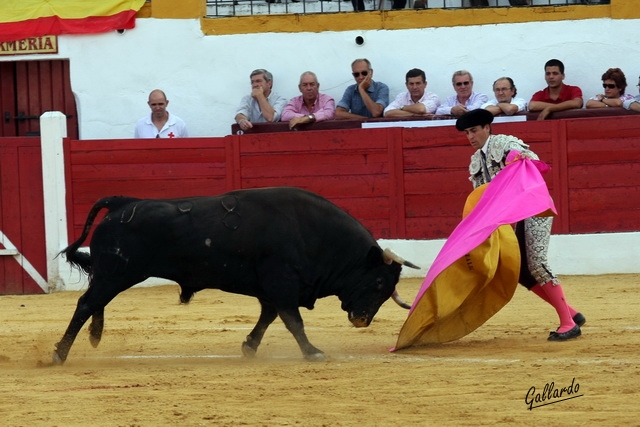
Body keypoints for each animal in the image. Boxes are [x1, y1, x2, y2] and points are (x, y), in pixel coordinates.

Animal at [52, 187, 418, 364]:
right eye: (379, 282)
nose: (362, 320)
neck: (315, 233)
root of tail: (123, 203)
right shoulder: (282, 283)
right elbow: (293, 320)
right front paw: (313, 352)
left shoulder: (271, 290)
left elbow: (269, 317)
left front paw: (249, 347)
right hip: (117, 274)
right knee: (86, 303)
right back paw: (59, 353)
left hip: (112, 275)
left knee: (94, 302)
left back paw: (93, 336)